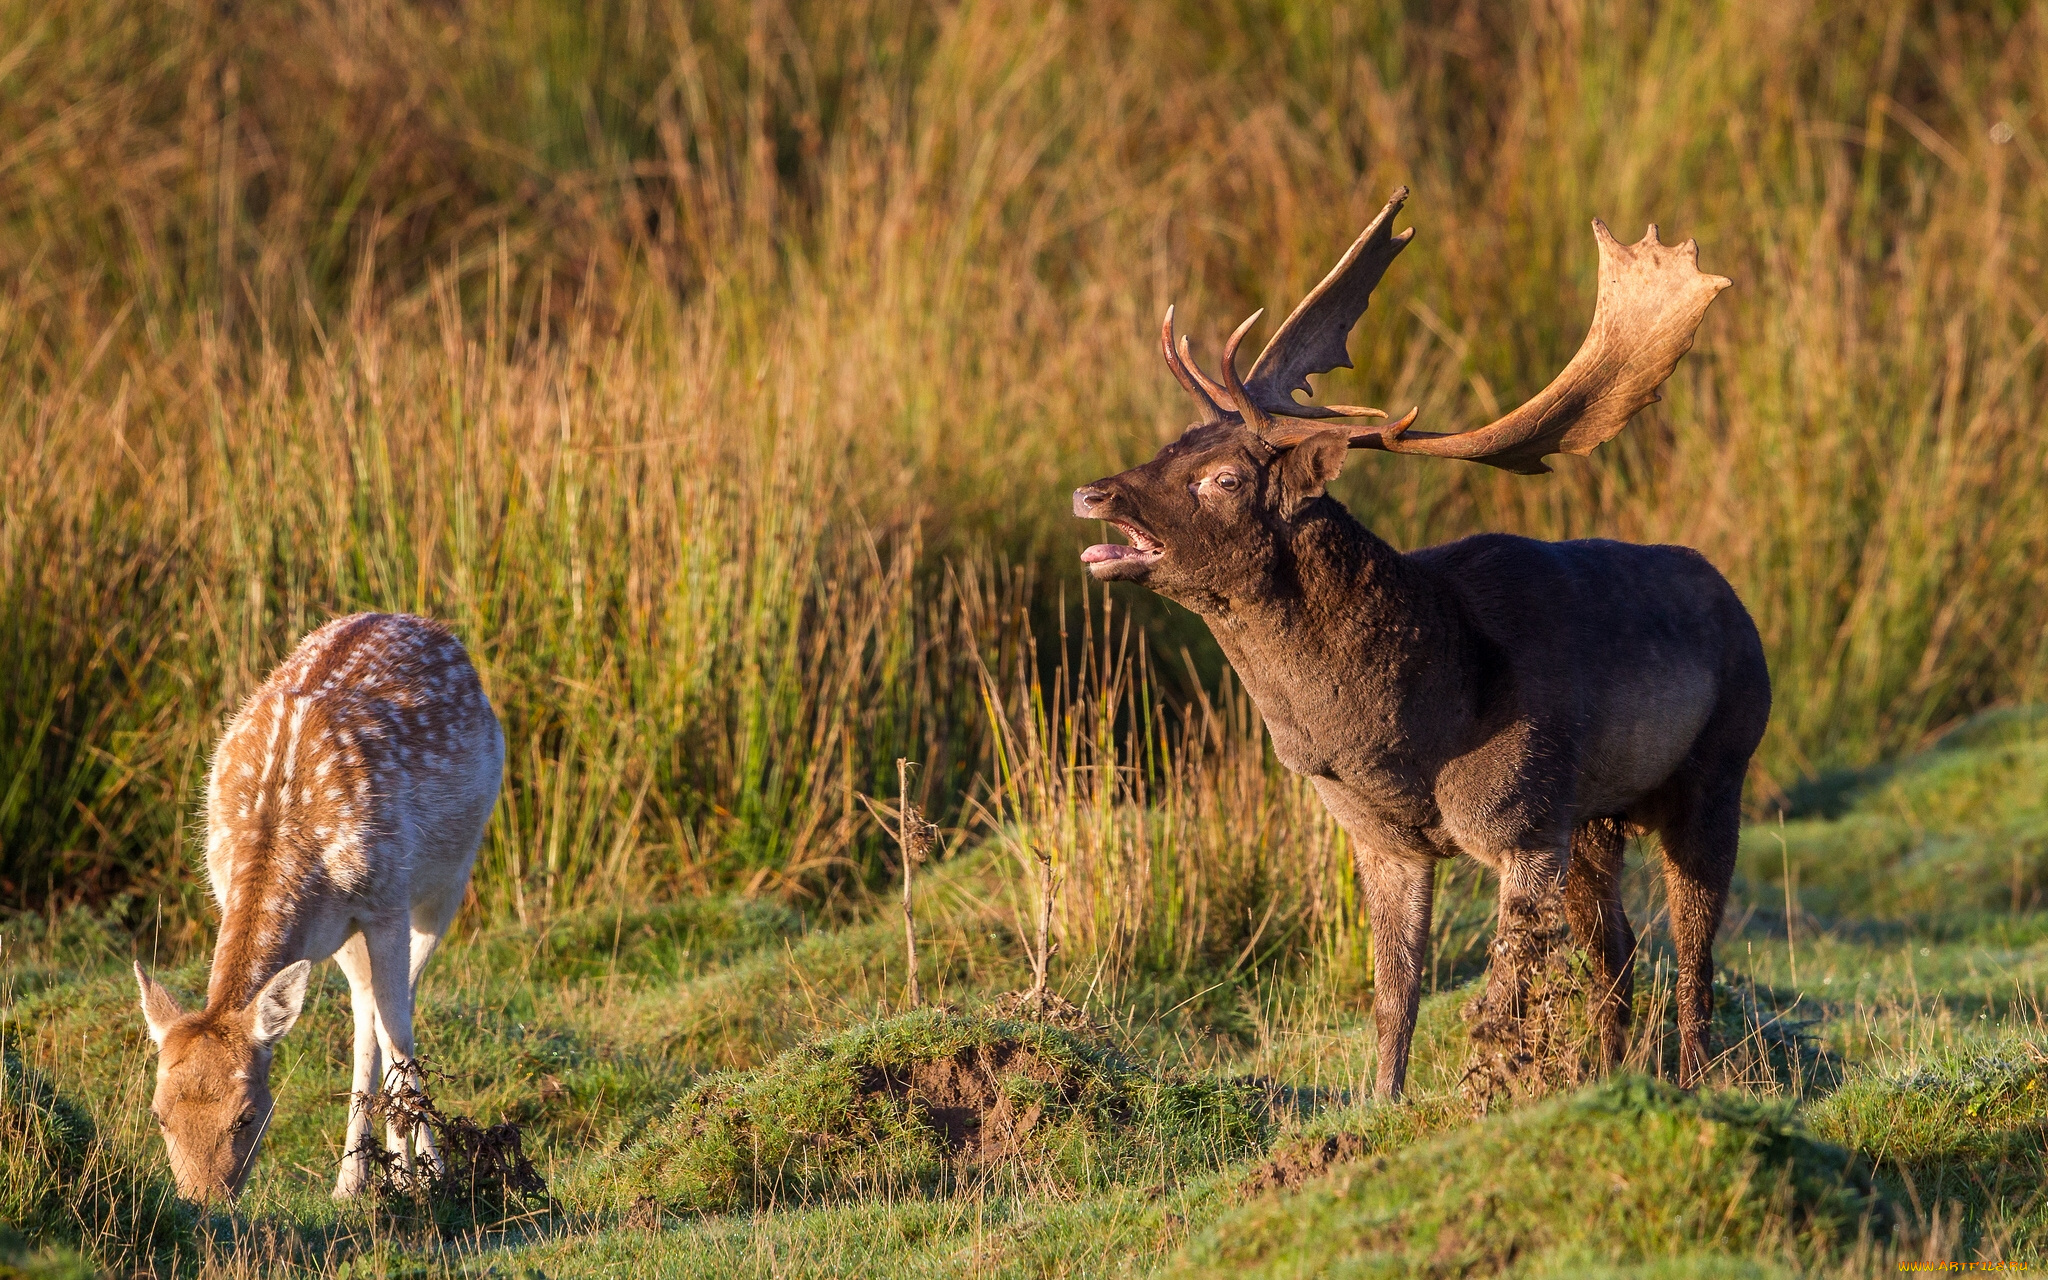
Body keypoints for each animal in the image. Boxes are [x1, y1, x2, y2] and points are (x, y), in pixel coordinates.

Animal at [135, 610, 499, 1196]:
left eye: (247, 1114)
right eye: (159, 1115)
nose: (202, 1204)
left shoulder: (386, 900)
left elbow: (400, 1033)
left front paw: (429, 1177)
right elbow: (378, 1023)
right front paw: (377, 1177)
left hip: (451, 877)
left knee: (395, 1009)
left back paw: (404, 1172)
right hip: (339, 933)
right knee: (365, 1008)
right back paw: (352, 1179)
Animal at [1081, 189, 1769, 1097]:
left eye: (1223, 479)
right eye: (1171, 444)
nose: (1095, 493)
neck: (1410, 734)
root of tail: (1740, 604)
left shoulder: (1523, 821)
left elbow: (1503, 1002)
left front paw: (1486, 1099)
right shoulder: (1382, 839)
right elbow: (1393, 995)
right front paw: (1382, 1102)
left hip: (1718, 768)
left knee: (1693, 957)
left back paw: (1692, 1081)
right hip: (1595, 818)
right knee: (1617, 951)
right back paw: (1609, 1076)